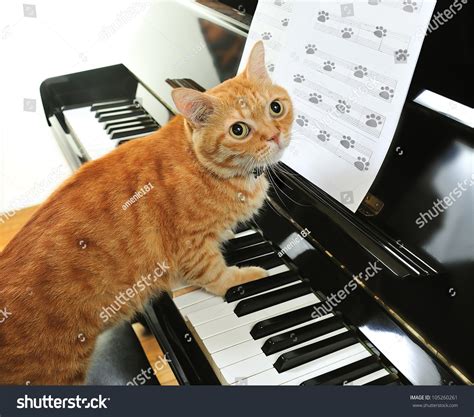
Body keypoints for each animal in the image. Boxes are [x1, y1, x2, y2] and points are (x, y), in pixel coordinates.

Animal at [0, 42, 294, 384]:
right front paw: (245, 276)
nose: (275, 135)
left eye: (276, 108)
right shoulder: (191, 247)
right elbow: (217, 275)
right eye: (238, 129)